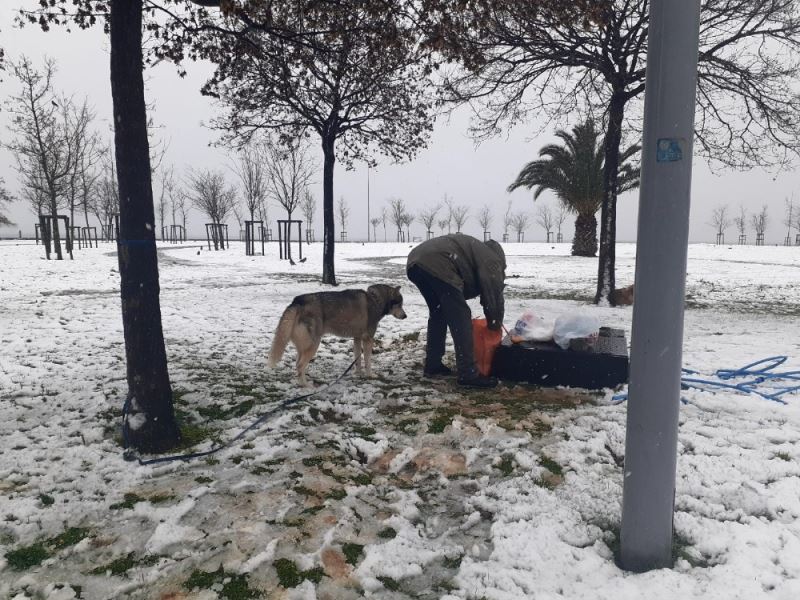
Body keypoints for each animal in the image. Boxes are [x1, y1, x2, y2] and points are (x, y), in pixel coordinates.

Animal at [268, 282, 406, 384]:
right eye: (399, 304)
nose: (405, 316)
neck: (375, 299)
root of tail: (297, 301)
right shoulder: (368, 339)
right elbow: (368, 361)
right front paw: (370, 375)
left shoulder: (357, 338)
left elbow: (357, 360)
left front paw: (358, 374)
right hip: (314, 345)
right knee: (300, 365)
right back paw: (306, 387)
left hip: (303, 347)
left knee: (297, 365)